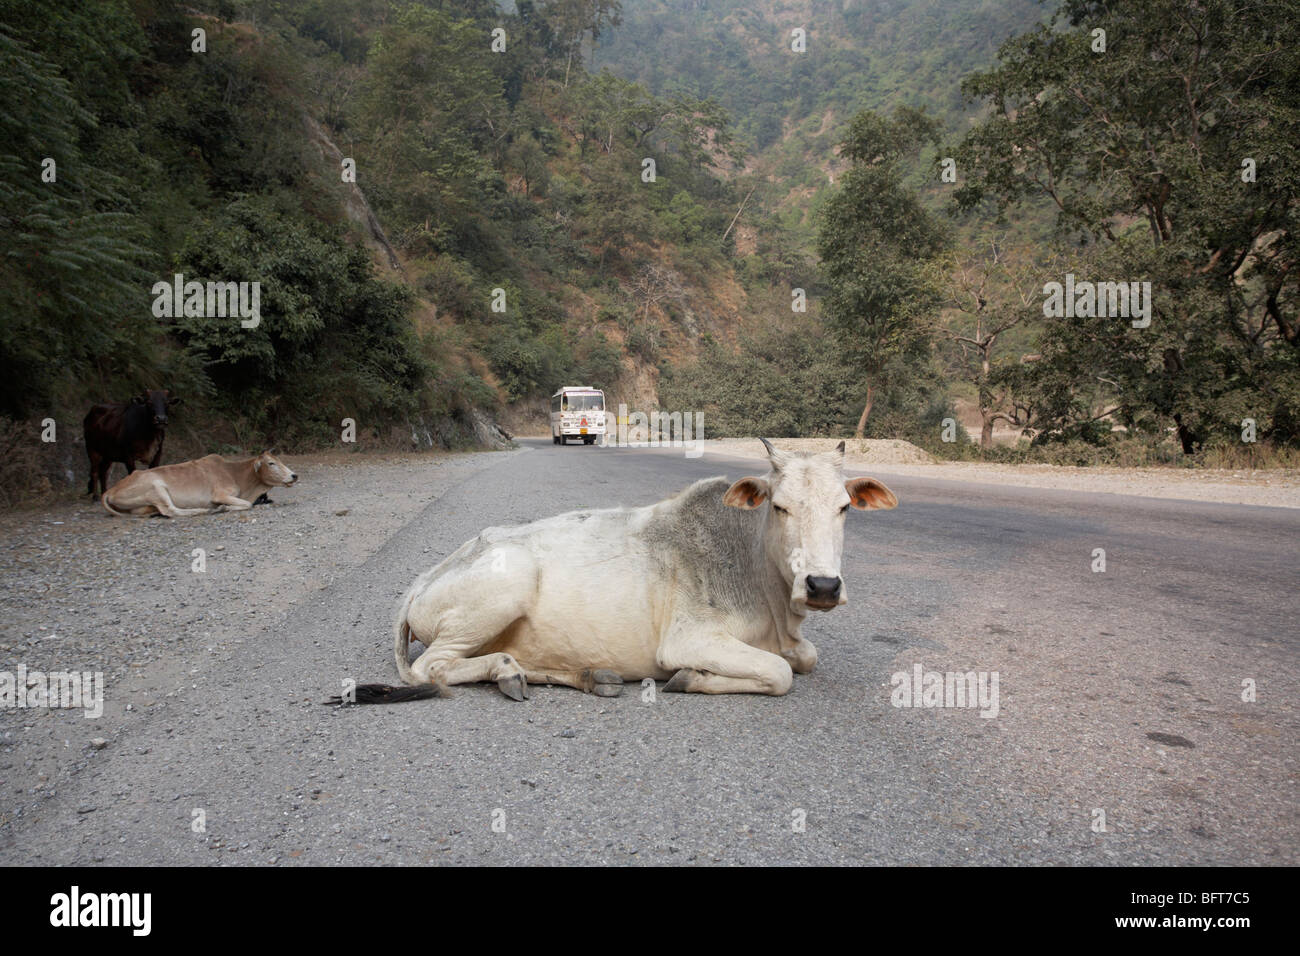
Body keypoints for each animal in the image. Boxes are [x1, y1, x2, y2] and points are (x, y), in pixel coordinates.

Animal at [102, 452, 297, 520]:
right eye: (271, 463)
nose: (294, 475)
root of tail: (110, 490)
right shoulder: (220, 494)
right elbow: (247, 504)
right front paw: (223, 507)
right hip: (156, 487)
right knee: (171, 510)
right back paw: (206, 510)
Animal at [361, 442, 899, 702]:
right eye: (781, 507)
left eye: (844, 507)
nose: (823, 586)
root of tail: (421, 580)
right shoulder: (688, 639)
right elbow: (781, 671)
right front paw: (688, 679)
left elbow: (805, 657)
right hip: (503, 586)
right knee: (432, 668)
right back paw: (507, 672)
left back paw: (583, 675)